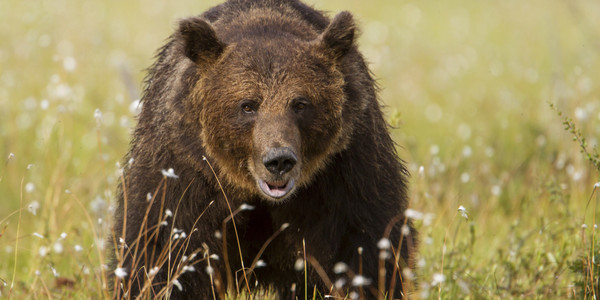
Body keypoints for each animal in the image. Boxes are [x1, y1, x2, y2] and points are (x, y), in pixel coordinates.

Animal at [110, 0, 414, 298]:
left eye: (300, 104)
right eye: (247, 105)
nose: (279, 160)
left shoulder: (345, 176)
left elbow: (362, 252)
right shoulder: (184, 175)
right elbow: (162, 252)